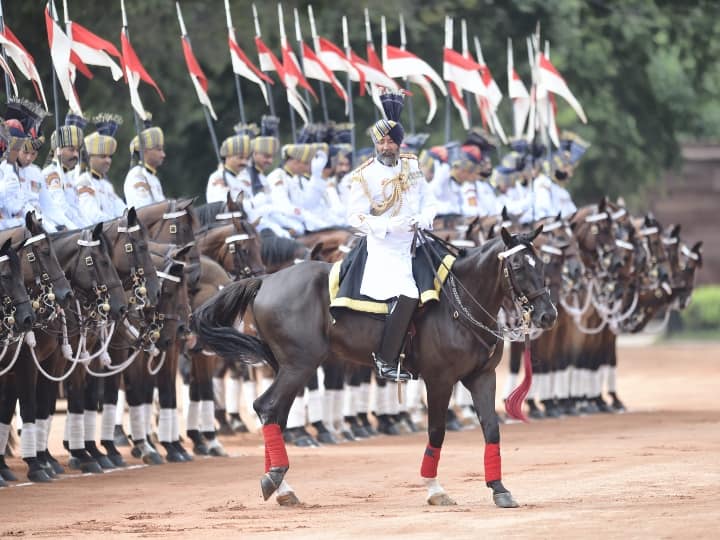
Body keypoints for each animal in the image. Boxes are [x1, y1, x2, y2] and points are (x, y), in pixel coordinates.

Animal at [193, 226, 556, 508]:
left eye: (541, 264)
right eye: (518, 265)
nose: (547, 315)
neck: (461, 303)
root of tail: (265, 281)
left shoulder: (481, 377)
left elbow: (491, 428)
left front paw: (499, 489)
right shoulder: (439, 380)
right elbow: (436, 431)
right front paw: (434, 489)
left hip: (291, 367)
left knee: (275, 414)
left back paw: (281, 486)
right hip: (299, 365)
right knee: (266, 407)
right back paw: (275, 479)